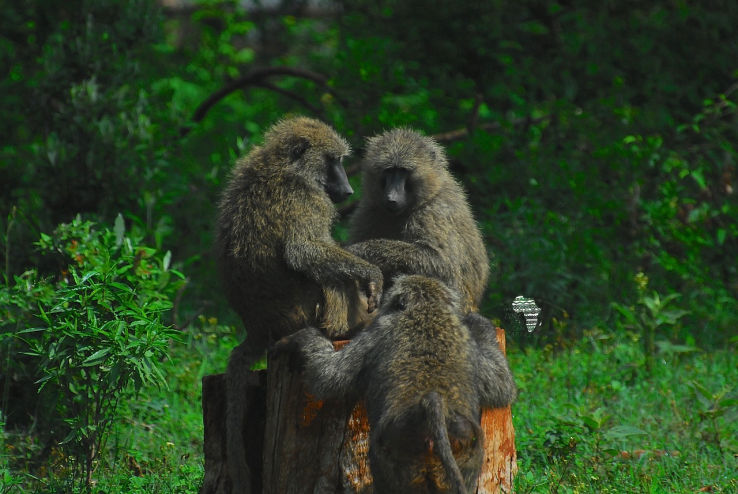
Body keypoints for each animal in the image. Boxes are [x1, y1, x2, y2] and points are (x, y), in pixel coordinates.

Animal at [215, 116, 384, 493]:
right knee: (330, 277)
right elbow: (303, 252)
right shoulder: (305, 199)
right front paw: (372, 274)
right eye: (333, 161)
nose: (348, 190)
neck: (282, 165)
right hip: (321, 312)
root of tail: (256, 329)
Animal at [276, 275, 517, 494]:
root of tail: (432, 405)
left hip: (398, 452)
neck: (426, 308)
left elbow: (325, 377)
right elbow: (501, 385)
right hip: (466, 448)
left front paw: (303, 338)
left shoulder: (375, 332)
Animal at [347, 128, 490, 313]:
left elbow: (443, 265)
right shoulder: (370, 209)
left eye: (403, 171)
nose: (391, 198)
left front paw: (360, 251)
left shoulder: (433, 213)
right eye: (389, 171)